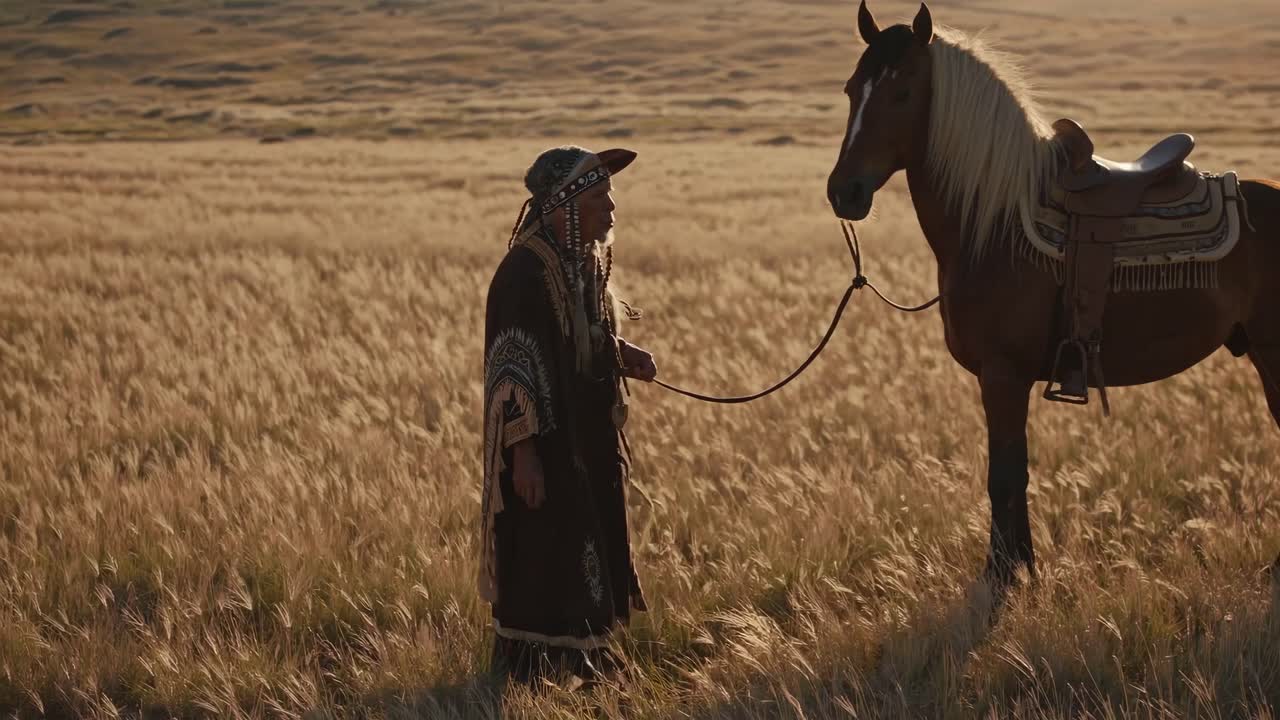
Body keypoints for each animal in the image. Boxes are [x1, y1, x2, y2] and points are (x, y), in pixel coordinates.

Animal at [826, 1, 1280, 592]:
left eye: (902, 92)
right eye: (851, 89)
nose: (844, 192)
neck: (993, 222)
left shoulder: (1003, 374)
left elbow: (1004, 476)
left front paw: (1004, 574)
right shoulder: (1005, 378)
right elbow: (1013, 473)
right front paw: (1023, 565)